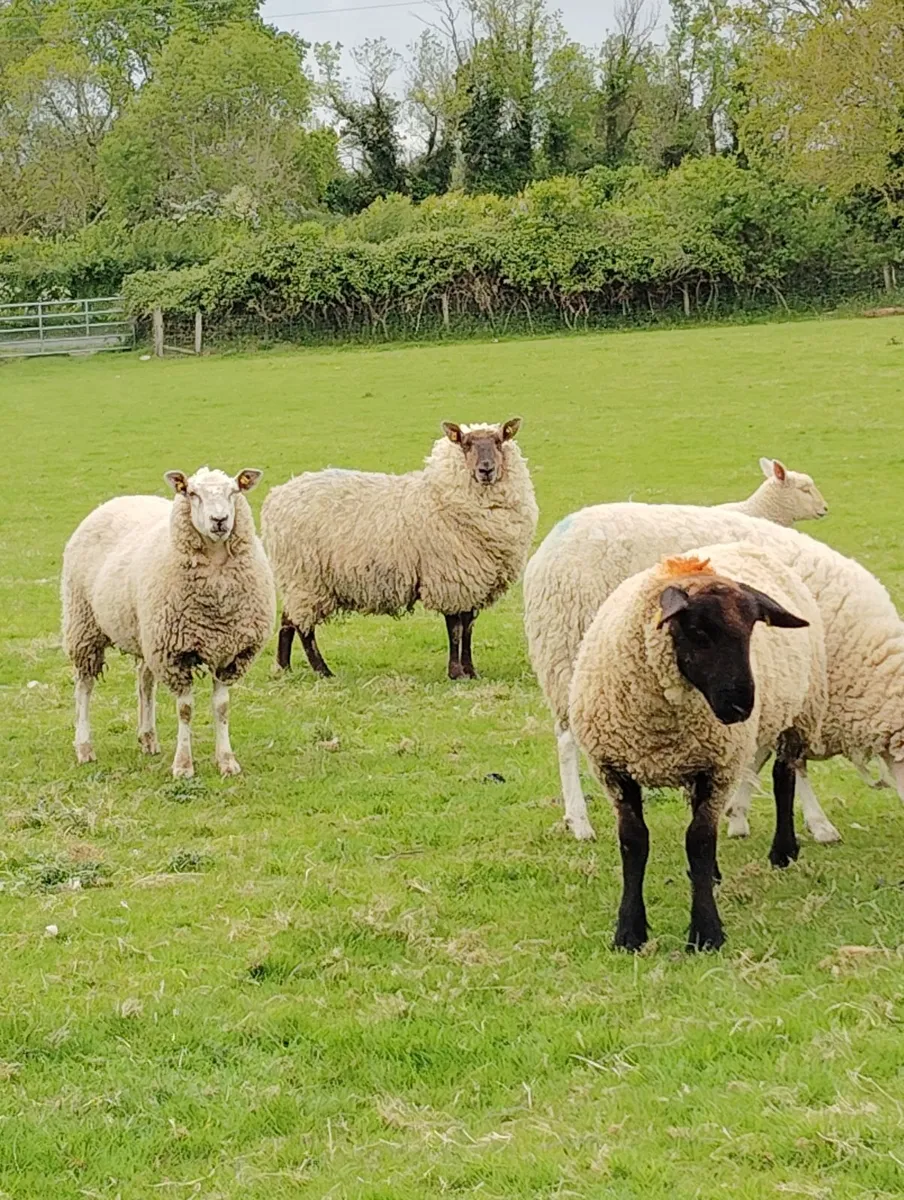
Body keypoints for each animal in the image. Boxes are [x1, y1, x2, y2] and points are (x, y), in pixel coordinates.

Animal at [61, 467, 275, 778]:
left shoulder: (230, 653)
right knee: (84, 685)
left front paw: (226, 760)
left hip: (145, 633)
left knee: (144, 680)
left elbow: (222, 708)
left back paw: (148, 738)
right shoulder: (175, 654)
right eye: (192, 493)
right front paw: (183, 765)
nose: (220, 520)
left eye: (234, 491)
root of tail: (117, 500)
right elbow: (185, 710)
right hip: (83, 624)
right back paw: (84, 747)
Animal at [261, 419, 538, 680]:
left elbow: (468, 626)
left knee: (288, 619)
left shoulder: (471, 579)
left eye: (499, 441)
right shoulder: (448, 576)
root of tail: (276, 497)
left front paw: (471, 671)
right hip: (306, 577)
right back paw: (322, 671)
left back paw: (283, 668)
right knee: (304, 627)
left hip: (298, 580)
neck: (439, 495)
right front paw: (456, 673)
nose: (486, 469)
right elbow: (455, 628)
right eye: (466, 444)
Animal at [524, 498, 900, 845]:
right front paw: (819, 824)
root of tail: (555, 537)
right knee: (567, 743)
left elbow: (757, 757)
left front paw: (738, 814)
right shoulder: (803, 696)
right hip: (572, 661)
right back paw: (579, 821)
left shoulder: (770, 698)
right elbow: (794, 764)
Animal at [568, 545, 825, 951]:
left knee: (784, 777)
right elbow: (633, 842)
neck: (660, 729)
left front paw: (706, 931)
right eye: (699, 630)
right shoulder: (615, 769)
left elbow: (700, 841)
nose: (741, 706)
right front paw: (629, 931)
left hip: (799, 713)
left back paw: (783, 851)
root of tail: (743, 546)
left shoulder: (717, 768)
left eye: (752, 629)